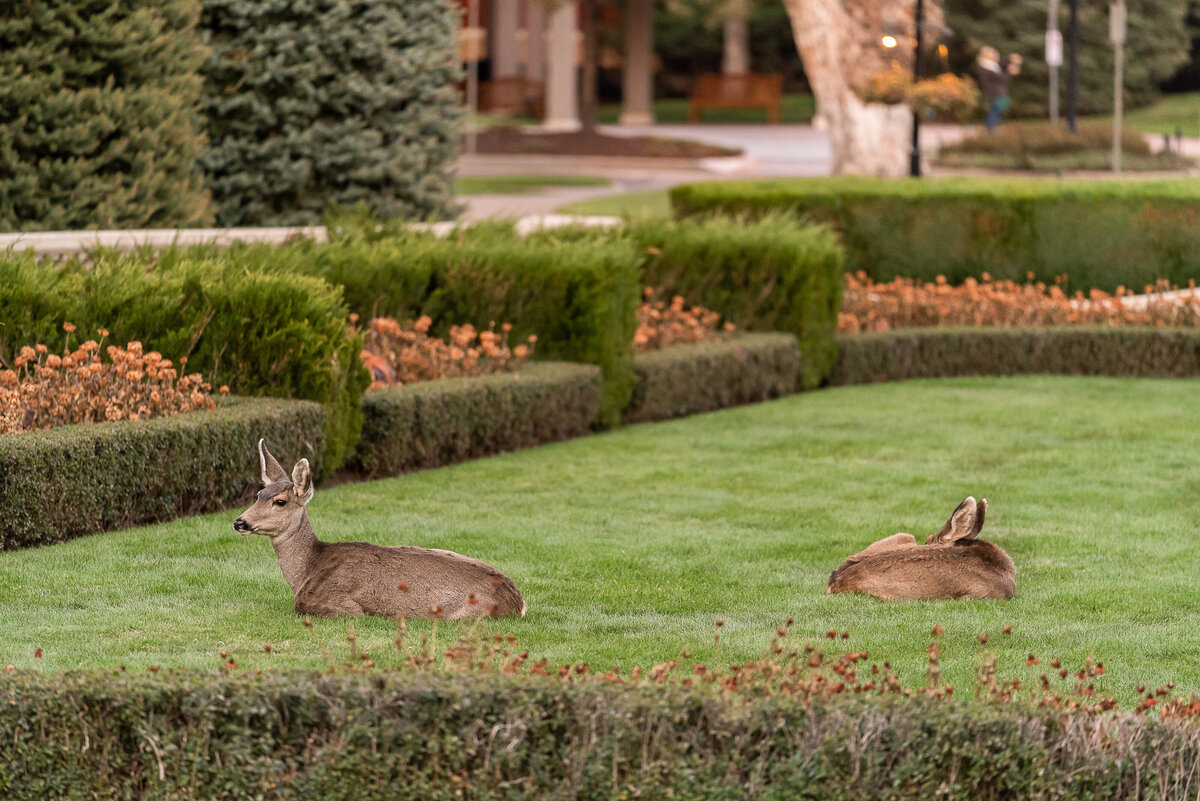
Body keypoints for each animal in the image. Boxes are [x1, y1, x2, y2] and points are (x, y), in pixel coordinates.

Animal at [231, 438, 523, 618]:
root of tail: (519, 603)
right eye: (258, 494)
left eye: (280, 502)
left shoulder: (334, 603)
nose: (239, 521)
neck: (307, 571)